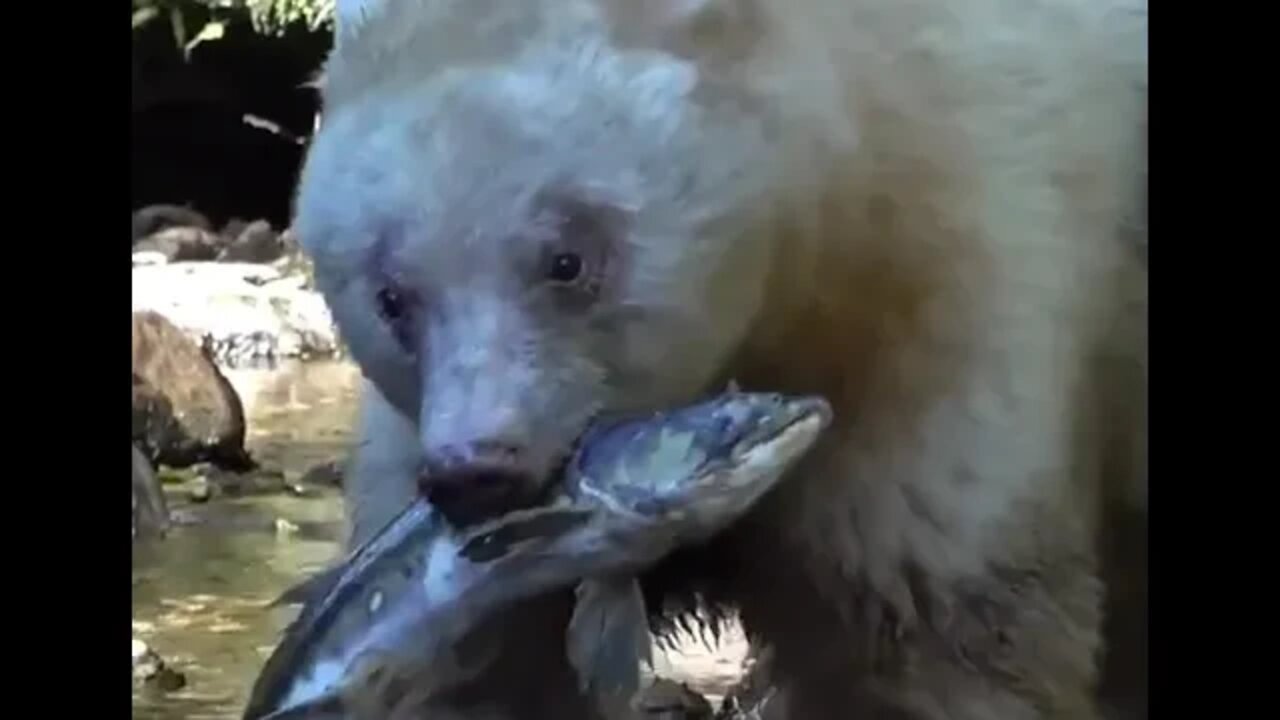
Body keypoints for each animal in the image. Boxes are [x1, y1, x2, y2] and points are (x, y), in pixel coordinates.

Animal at [296, 0, 1152, 712]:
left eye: (567, 259)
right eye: (392, 296)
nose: (478, 470)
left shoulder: (944, 305)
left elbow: (935, 631)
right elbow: (473, 662)